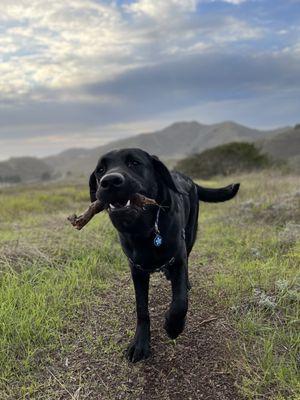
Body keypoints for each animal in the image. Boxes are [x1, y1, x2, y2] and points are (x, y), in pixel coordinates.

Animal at [89, 148, 239, 364]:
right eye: (100, 170)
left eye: (134, 163)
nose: (109, 181)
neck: (144, 232)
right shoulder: (137, 270)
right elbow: (142, 309)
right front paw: (140, 343)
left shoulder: (178, 257)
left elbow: (180, 302)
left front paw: (173, 326)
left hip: (191, 234)